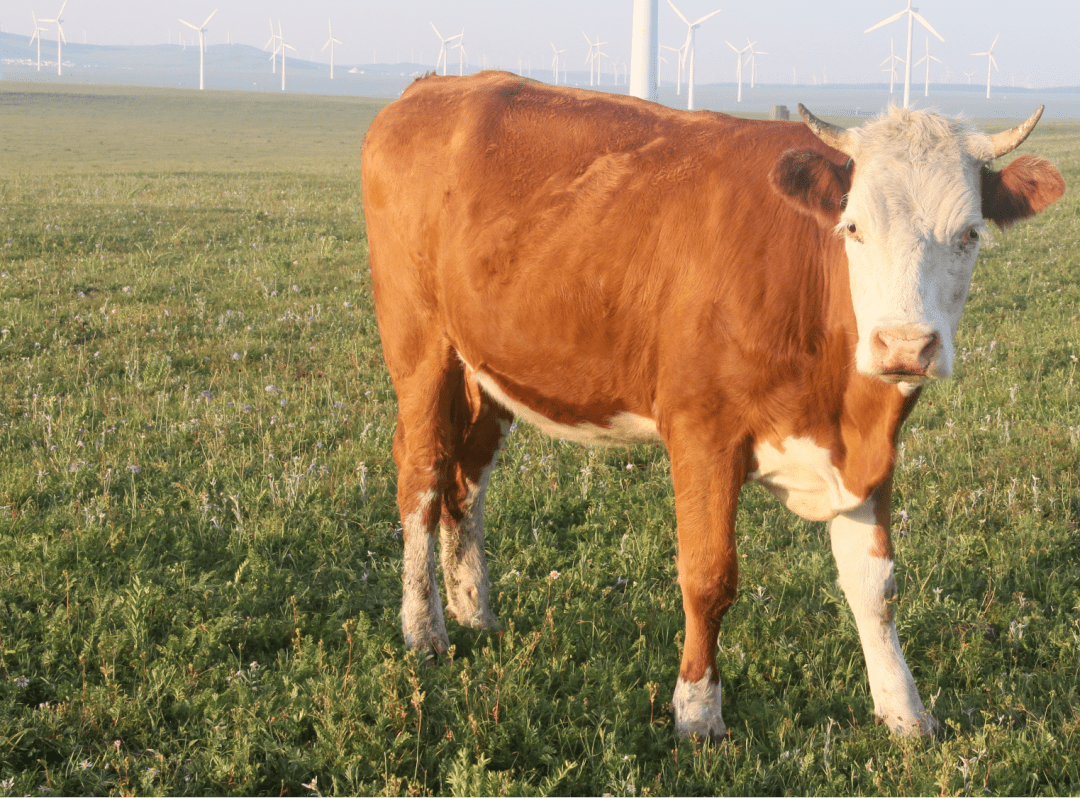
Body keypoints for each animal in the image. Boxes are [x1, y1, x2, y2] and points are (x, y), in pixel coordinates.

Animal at [360, 71, 1062, 738]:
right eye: (853, 227)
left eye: (970, 233)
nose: (905, 345)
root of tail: (432, 88)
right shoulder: (702, 433)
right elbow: (708, 577)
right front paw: (697, 711)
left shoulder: (869, 450)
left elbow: (877, 587)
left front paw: (905, 714)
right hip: (419, 346)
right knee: (422, 475)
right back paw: (424, 629)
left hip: (484, 366)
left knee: (467, 479)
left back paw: (474, 609)